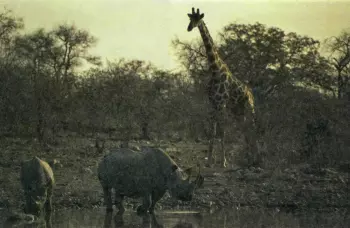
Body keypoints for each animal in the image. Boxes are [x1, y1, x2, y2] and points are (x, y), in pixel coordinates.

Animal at [186, 7, 260, 167]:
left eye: (198, 19)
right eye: (189, 19)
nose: (189, 28)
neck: (215, 70)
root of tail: (250, 93)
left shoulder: (221, 104)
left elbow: (222, 131)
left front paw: (223, 162)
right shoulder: (213, 104)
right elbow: (212, 132)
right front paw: (209, 161)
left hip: (249, 107)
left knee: (252, 127)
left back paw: (255, 157)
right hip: (237, 109)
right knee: (244, 128)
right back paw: (248, 156)